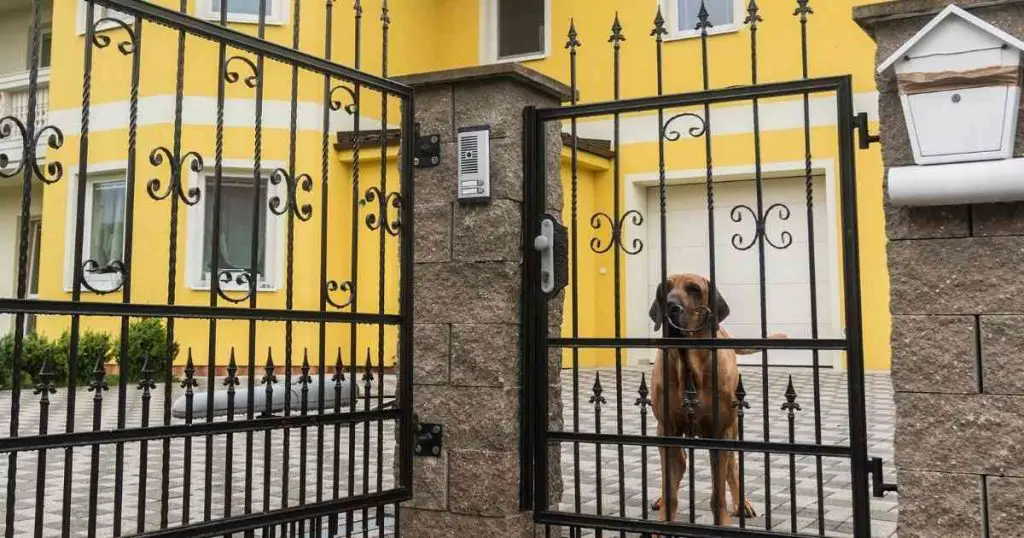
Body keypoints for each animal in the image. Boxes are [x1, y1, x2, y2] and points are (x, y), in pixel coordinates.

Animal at [647, 274, 770, 524]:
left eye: (694, 289)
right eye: (665, 288)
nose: (670, 306)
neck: (690, 368)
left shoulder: (721, 432)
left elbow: (719, 492)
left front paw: (722, 522)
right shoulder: (667, 429)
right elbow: (670, 485)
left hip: (732, 430)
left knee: (732, 468)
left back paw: (742, 503)